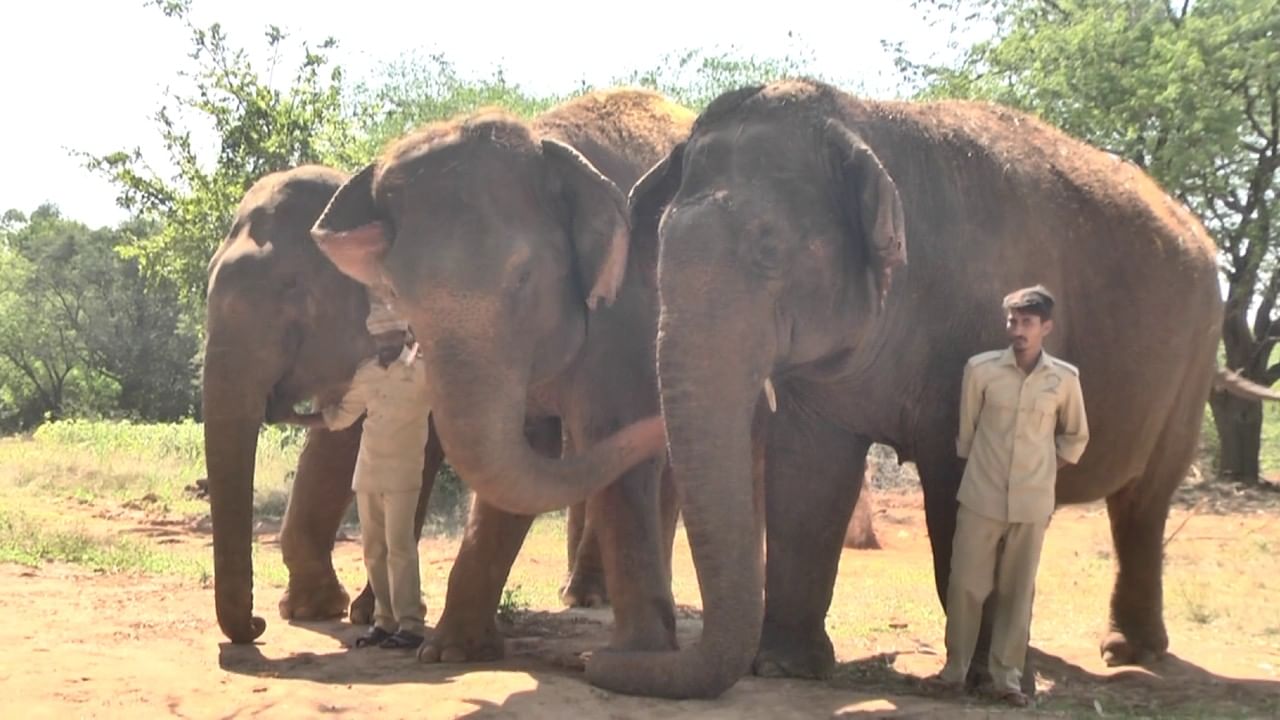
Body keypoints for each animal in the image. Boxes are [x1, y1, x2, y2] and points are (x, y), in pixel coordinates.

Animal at [198, 165, 614, 640]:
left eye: (291, 286)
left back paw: (588, 598)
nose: (257, 624)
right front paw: (312, 610)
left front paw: (358, 612)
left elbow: (370, 448)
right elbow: (337, 438)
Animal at [307, 87, 691, 666]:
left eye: (524, 277)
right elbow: (524, 454)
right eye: (397, 291)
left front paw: (638, 658)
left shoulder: (628, 312)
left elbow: (612, 439)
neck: (544, 138)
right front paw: (448, 653)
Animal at [588, 77, 1280, 696]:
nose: (596, 661)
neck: (863, 120)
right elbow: (809, 474)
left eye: (769, 251)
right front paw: (786, 668)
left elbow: (959, 477)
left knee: (1144, 499)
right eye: (657, 253)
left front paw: (978, 679)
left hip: (1195, 352)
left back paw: (1127, 653)